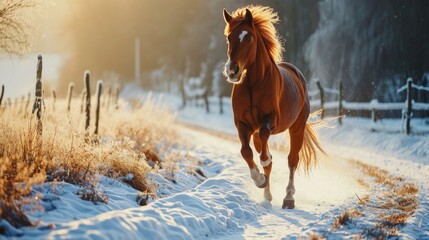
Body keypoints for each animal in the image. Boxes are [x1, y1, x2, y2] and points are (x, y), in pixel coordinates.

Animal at [222, 5, 322, 208]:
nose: (232, 71)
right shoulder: (242, 125)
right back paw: (267, 194)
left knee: (293, 160)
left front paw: (265, 163)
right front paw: (260, 180)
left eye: (249, 37)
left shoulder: (270, 120)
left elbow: (265, 143)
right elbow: (246, 152)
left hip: (297, 128)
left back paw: (289, 198)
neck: (253, 84)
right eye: (229, 37)